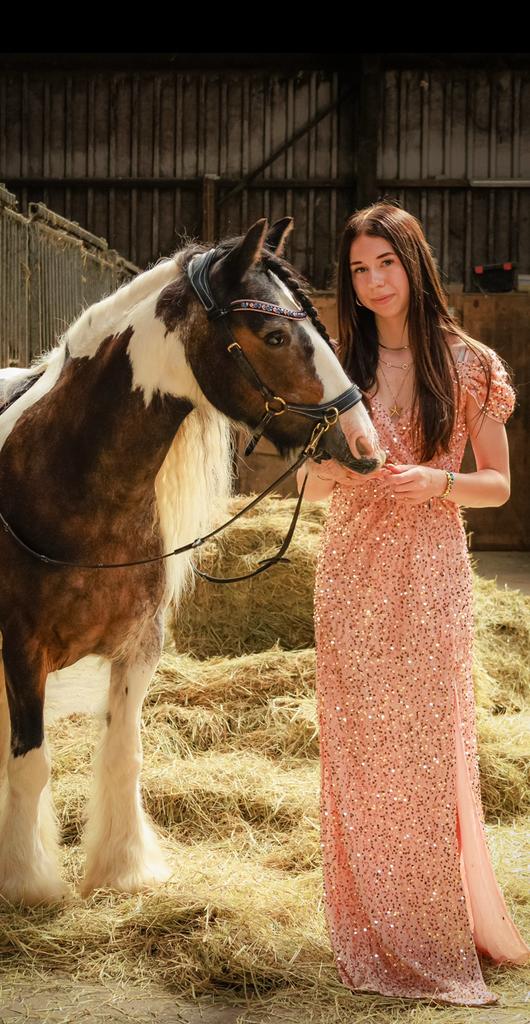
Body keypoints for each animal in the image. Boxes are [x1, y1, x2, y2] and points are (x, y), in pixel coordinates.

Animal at [0, 217, 385, 905]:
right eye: (275, 334)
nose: (365, 444)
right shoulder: (21, 649)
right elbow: (30, 763)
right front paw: (27, 882)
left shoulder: (138, 647)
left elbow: (123, 756)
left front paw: (124, 869)